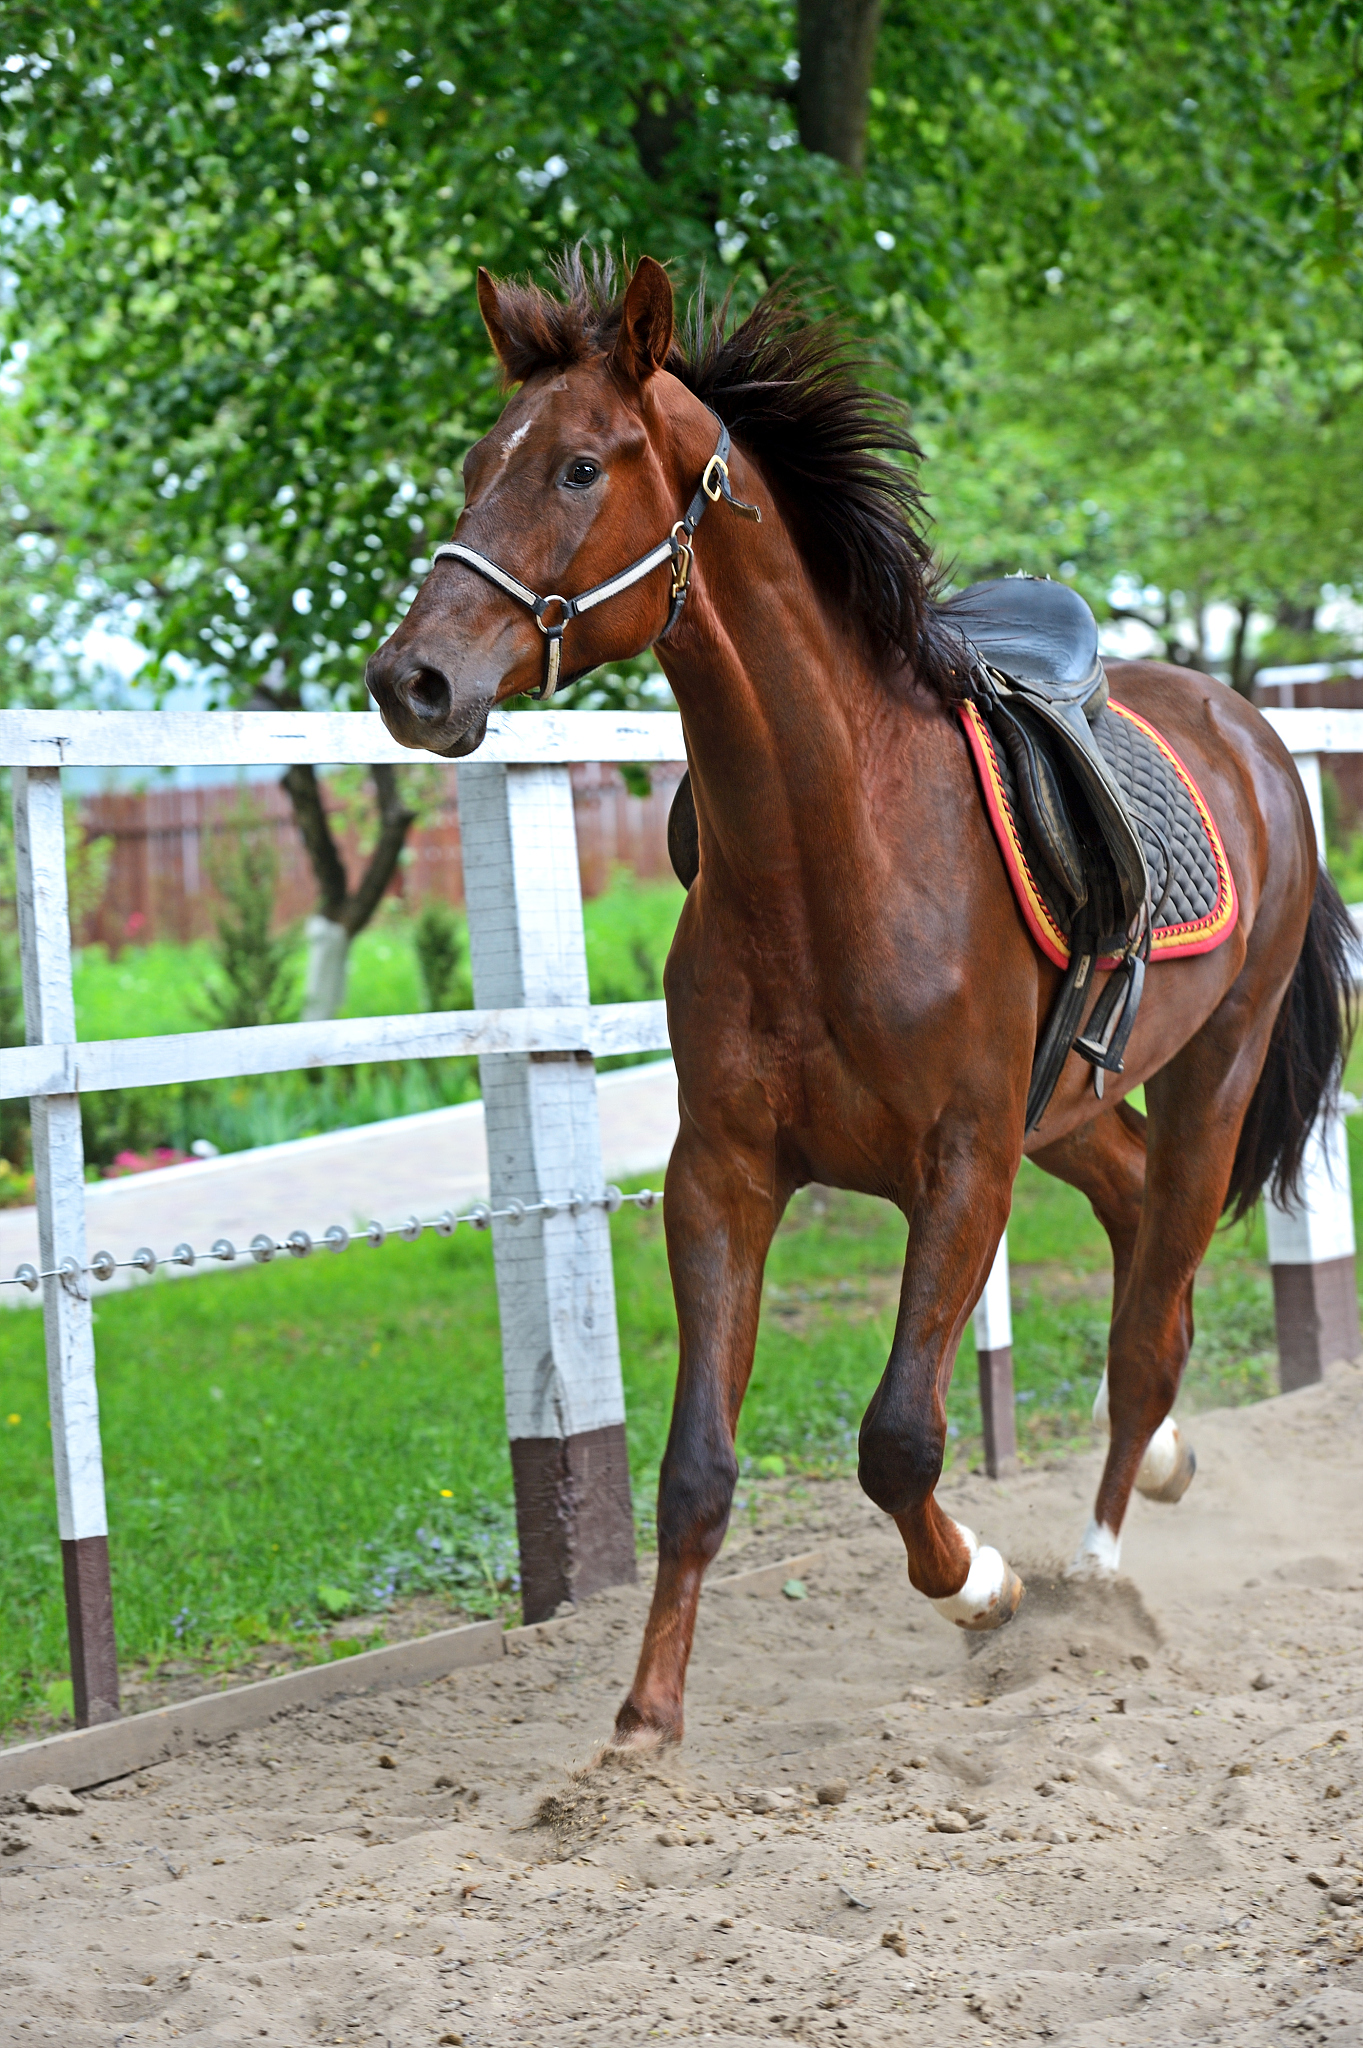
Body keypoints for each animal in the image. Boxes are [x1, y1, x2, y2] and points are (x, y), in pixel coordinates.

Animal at [365, 251, 1355, 1751]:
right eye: (480, 462)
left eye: (581, 467)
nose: (412, 680)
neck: (833, 850)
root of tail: (1251, 731)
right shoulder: (722, 1170)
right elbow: (695, 1465)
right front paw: (641, 1728)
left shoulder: (960, 1165)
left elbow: (897, 1439)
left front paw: (989, 1587)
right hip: (1070, 1110)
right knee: (1139, 1241)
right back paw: (1161, 1476)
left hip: (1209, 1081)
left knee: (1146, 1328)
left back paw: (1097, 1574)